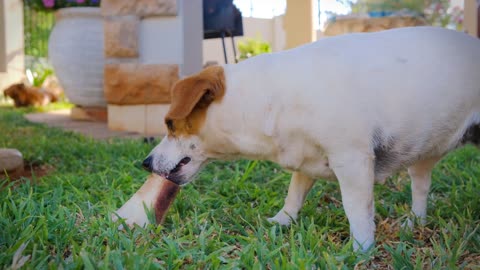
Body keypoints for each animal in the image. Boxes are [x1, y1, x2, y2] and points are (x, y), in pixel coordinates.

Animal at [117, 27, 480, 251]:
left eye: (169, 123)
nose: (145, 162)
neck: (267, 99)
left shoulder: (352, 159)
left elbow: (357, 210)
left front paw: (361, 248)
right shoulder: (306, 157)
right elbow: (294, 194)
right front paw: (281, 221)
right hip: (423, 157)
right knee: (421, 187)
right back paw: (414, 222)